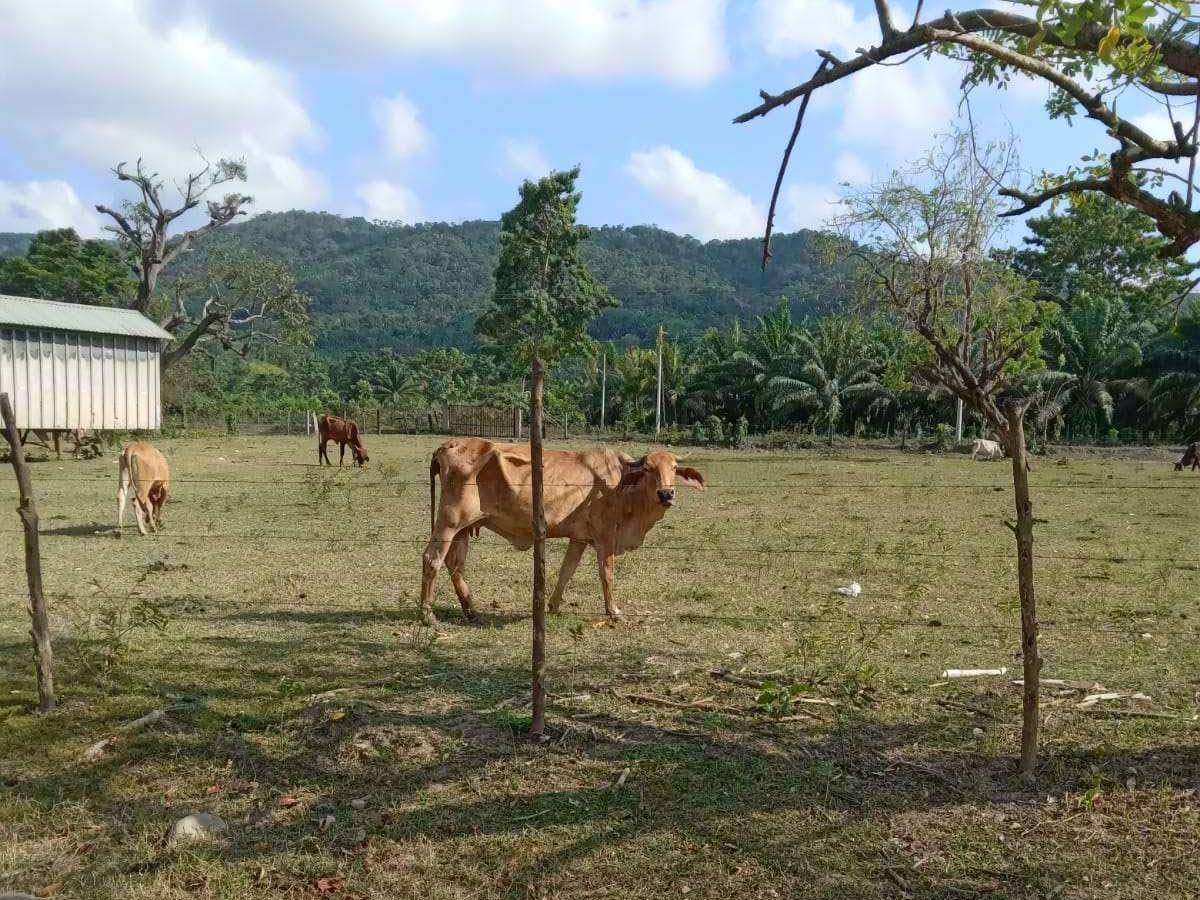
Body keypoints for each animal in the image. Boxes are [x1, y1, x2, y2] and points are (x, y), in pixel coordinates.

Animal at [422, 439, 700, 628]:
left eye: (674, 467)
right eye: (649, 468)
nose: (666, 494)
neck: (621, 484)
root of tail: (448, 444)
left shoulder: (579, 537)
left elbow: (567, 571)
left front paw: (553, 606)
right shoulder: (605, 537)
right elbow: (607, 574)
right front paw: (614, 611)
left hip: (463, 529)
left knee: (455, 565)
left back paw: (471, 610)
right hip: (449, 522)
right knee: (432, 559)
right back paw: (428, 615)